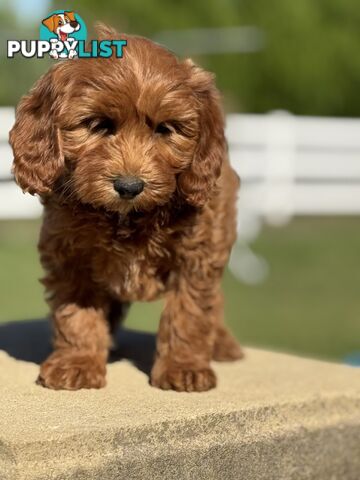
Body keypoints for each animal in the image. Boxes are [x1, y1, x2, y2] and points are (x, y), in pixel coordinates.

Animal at [9, 26, 243, 392]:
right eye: (98, 125)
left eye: (165, 129)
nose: (130, 187)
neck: (126, 217)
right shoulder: (70, 255)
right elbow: (77, 313)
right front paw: (77, 362)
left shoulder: (196, 254)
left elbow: (189, 312)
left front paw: (183, 368)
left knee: (213, 301)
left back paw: (221, 342)